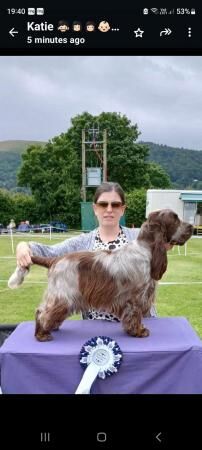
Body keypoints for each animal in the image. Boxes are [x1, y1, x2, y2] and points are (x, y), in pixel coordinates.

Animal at [8, 209, 193, 342]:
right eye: (175, 219)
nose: (191, 227)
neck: (145, 249)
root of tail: (55, 259)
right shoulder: (135, 298)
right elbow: (135, 315)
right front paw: (139, 331)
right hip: (63, 295)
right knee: (42, 312)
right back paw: (42, 334)